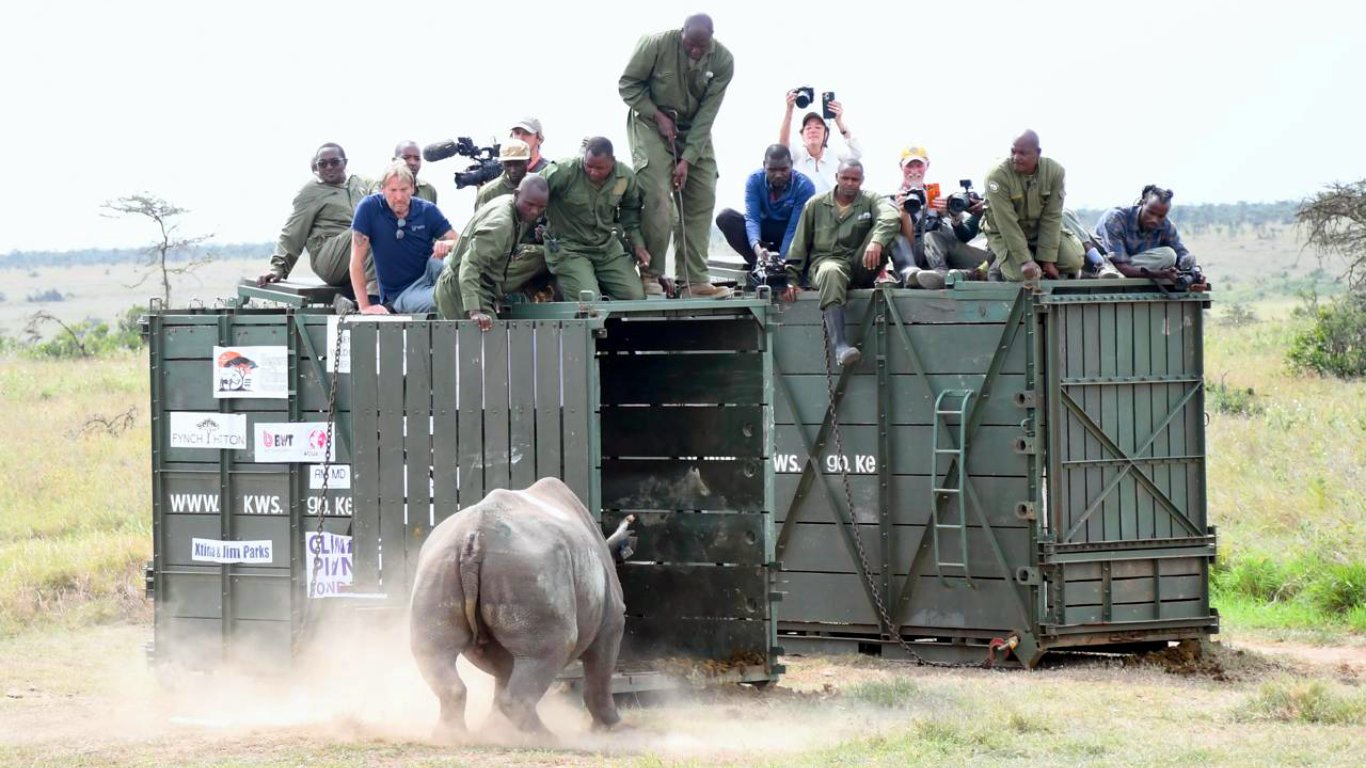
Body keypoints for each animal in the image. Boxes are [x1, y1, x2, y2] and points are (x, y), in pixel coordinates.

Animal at [409, 477, 635, 735]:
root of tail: (474, 537)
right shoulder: (612, 623)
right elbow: (600, 674)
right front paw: (614, 727)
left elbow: (503, 676)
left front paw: (496, 730)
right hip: (533, 565)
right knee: (554, 646)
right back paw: (545, 737)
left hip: (442, 561)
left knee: (432, 650)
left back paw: (451, 736)